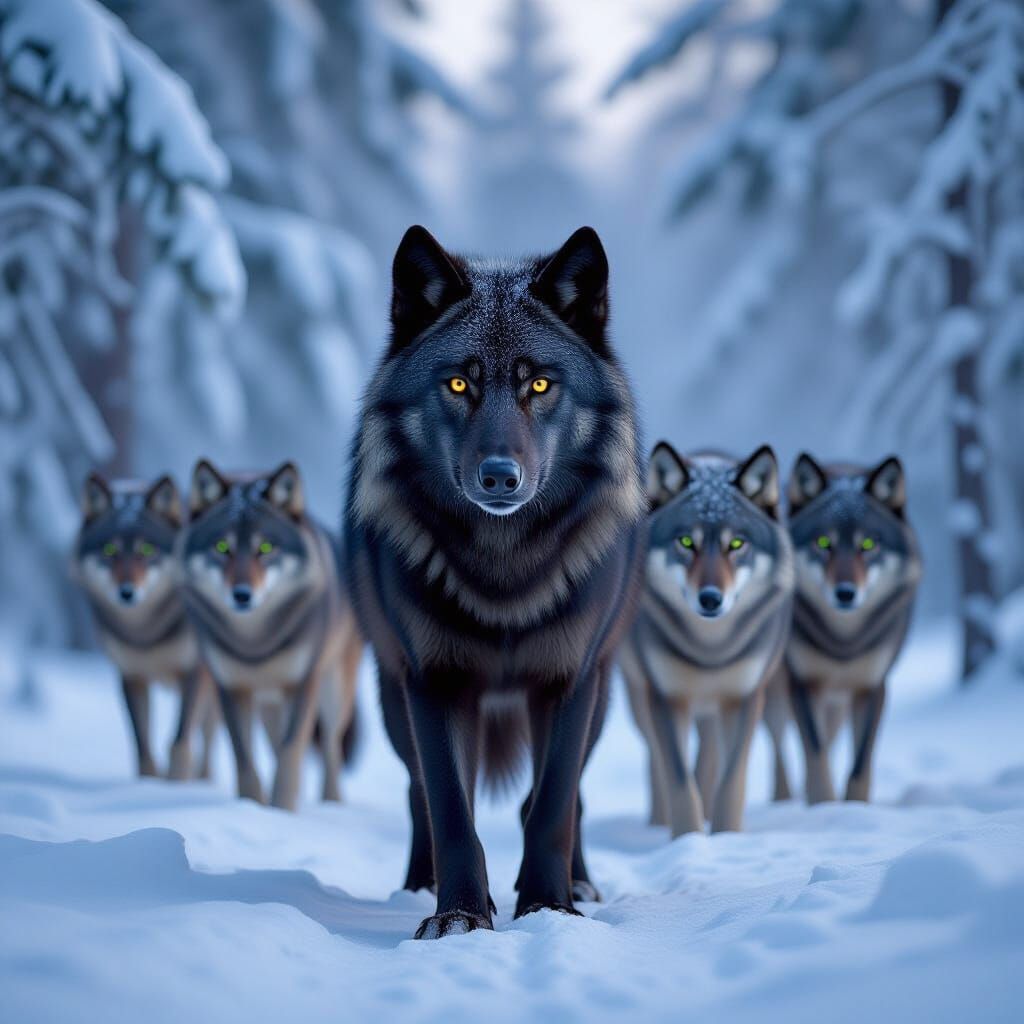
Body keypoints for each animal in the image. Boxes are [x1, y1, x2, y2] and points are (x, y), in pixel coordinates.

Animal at [72, 473, 217, 780]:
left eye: (147, 550)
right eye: (110, 550)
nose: (127, 593)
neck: (148, 632)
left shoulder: (194, 671)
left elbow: (179, 742)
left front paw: (174, 785)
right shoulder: (132, 675)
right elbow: (143, 748)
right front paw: (149, 784)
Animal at [180, 460, 362, 811]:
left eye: (265, 548)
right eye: (222, 547)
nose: (242, 595)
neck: (256, 643)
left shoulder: (302, 684)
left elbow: (291, 754)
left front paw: (282, 811)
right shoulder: (231, 688)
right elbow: (245, 759)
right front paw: (254, 807)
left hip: (333, 693)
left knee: (330, 748)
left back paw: (331, 803)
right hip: (269, 706)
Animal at [344, 225, 646, 939]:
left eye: (538, 383)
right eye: (459, 383)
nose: (500, 477)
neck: (505, 570)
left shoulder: (570, 680)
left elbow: (552, 805)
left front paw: (549, 906)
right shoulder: (433, 680)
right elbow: (452, 809)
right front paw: (456, 916)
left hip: (599, 697)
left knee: (565, 794)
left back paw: (580, 882)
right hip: (393, 698)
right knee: (418, 791)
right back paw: (419, 885)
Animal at [620, 445, 794, 835]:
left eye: (737, 544)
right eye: (686, 542)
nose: (711, 599)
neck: (710, 651)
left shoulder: (744, 698)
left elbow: (731, 782)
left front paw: (725, 836)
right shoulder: (666, 699)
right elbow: (680, 783)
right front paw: (686, 839)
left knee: (709, 756)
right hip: (641, 701)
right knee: (655, 760)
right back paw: (657, 824)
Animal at [768, 453, 922, 804]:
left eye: (868, 544)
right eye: (824, 542)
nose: (846, 593)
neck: (843, 642)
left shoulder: (872, 687)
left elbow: (859, 765)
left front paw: (855, 808)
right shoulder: (803, 685)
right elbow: (816, 756)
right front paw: (825, 807)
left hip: (835, 706)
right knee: (779, 746)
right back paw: (783, 799)